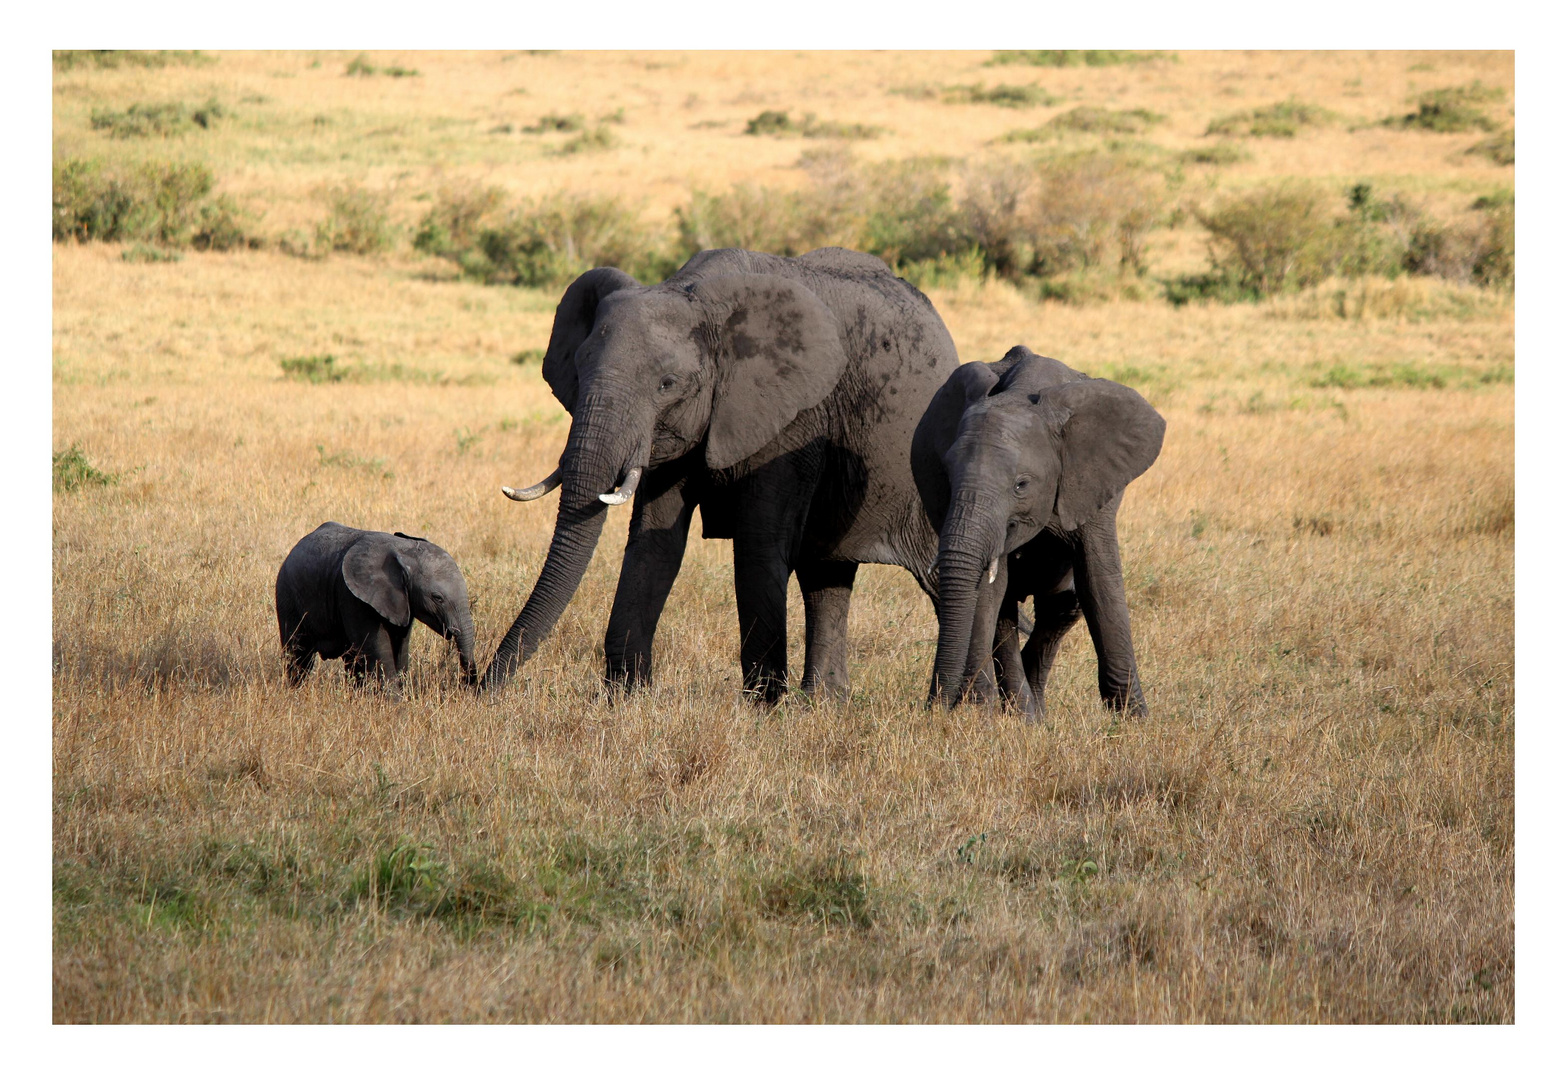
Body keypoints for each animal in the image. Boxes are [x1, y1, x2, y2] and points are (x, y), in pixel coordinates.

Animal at [275, 523, 479, 689]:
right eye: (437, 598)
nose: (468, 684)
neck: (404, 550)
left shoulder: (401, 602)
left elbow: (400, 648)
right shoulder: (354, 598)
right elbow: (379, 650)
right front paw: (395, 706)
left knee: (351, 660)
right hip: (287, 597)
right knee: (298, 655)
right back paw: (295, 692)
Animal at [482, 246, 959, 699]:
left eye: (667, 384)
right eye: (579, 372)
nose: (481, 685)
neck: (696, 294)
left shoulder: (795, 420)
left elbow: (757, 544)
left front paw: (762, 708)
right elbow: (655, 545)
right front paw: (624, 697)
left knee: (937, 574)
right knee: (826, 574)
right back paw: (824, 703)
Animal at [908, 344, 1165, 714]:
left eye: (1021, 485)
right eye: (947, 475)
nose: (933, 709)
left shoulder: (1091, 482)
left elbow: (1099, 581)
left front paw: (1133, 719)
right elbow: (991, 589)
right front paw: (978, 714)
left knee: (1064, 605)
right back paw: (1024, 714)